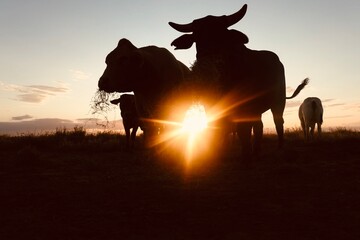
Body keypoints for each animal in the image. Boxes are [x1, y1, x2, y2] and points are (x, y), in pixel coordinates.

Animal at [169, 3, 306, 159]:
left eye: (221, 35)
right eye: (197, 38)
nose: (208, 62)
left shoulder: (243, 106)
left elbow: (242, 130)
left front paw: (245, 154)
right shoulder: (212, 106)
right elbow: (218, 129)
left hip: (278, 102)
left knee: (278, 123)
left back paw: (279, 148)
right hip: (257, 109)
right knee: (258, 126)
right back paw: (256, 150)